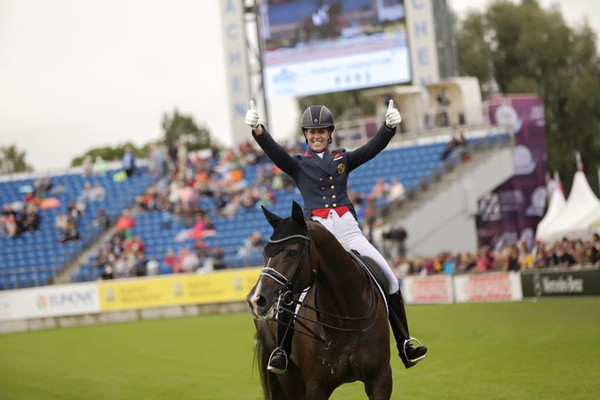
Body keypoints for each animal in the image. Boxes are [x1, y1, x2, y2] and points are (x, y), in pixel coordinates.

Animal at [246, 203, 392, 400]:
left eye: (292, 252)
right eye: (264, 253)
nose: (256, 300)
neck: (346, 317)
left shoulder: (380, 380)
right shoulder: (316, 386)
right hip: (289, 377)